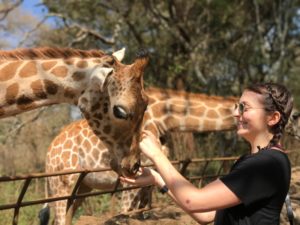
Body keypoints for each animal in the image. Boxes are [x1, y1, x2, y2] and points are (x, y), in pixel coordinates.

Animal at [40, 87, 237, 224]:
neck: (164, 118)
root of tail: (49, 152)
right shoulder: (131, 178)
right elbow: (125, 212)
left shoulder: (148, 177)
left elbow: (140, 213)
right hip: (61, 182)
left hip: (82, 186)